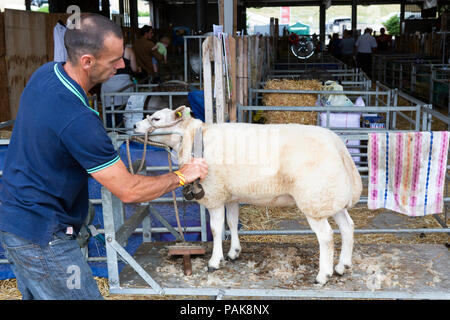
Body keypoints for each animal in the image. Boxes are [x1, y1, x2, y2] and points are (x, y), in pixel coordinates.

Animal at [134, 106, 362, 284]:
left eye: (156, 118)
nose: (135, 126)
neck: (193, 139)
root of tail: (339, 146)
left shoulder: (215, 194)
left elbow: (216, 229)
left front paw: (214, 261)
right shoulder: (231, 195)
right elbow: (232, 222)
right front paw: (234, 252)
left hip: (315, 198)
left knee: (326, 237)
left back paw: (323, 275)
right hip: (332, 196)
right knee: (348, 227)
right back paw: (342, 266)